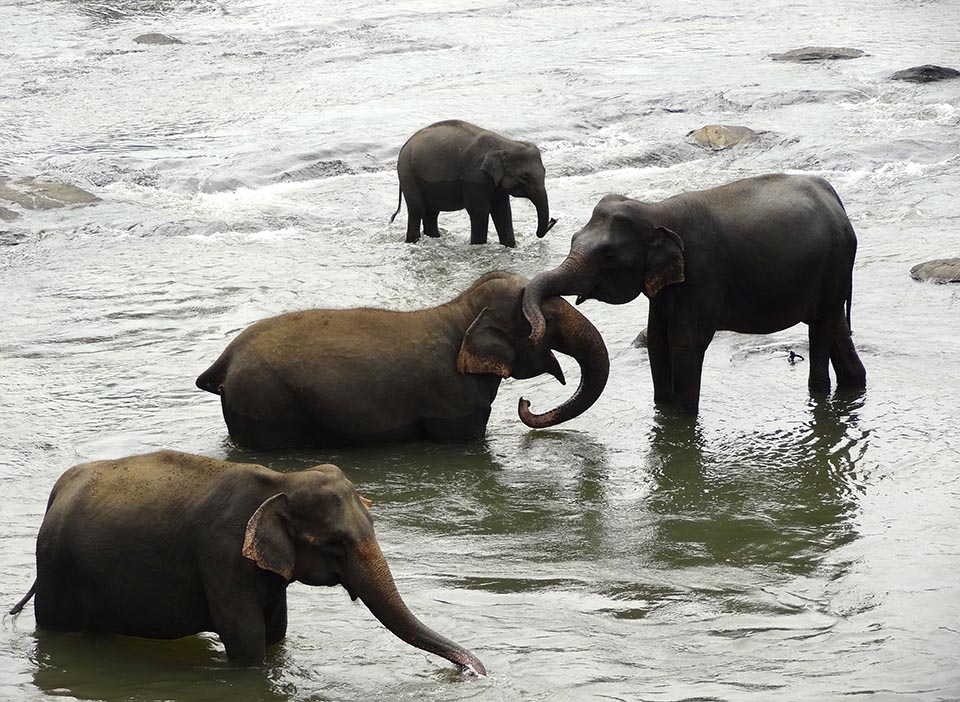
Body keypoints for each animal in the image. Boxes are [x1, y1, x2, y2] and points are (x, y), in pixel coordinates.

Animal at [9, 450, 485, 673]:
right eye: (336, 543)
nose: (473, 673)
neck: (280, 481)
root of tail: (56, 493)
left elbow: (276, 634)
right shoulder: (222, 556)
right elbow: (247, 641)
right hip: (57, 572)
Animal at [195, 271, 609, 449]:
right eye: (549, 321)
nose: (526, 403)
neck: (459, 311)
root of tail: (224, 361)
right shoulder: (453, 397)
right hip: (267, 404)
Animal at [389, 120, 557, 246]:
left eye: (544, 172)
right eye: (525, 178)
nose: (553, 220)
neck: (505, 143)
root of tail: (404, 147)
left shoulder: (495, 183)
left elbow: (503, 211)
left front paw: (510, 246)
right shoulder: (474, 176)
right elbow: (480, 212)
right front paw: (478, 246)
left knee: (431, 212)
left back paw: (435, 239)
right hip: (408, 174)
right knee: (417, 210)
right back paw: (412, 242)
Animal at [522, 174, 867, 415]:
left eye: (607, 255)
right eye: (573, 238)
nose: (533, 334)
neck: (657, 211)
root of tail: (835, 199)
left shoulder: (704, 271)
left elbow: (685, 342)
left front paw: (682, 417)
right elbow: (657, 340)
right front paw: (664, 408)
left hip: (835, 262)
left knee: (820, 330)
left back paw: (820, 393)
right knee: (834, 324)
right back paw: (854, 382)